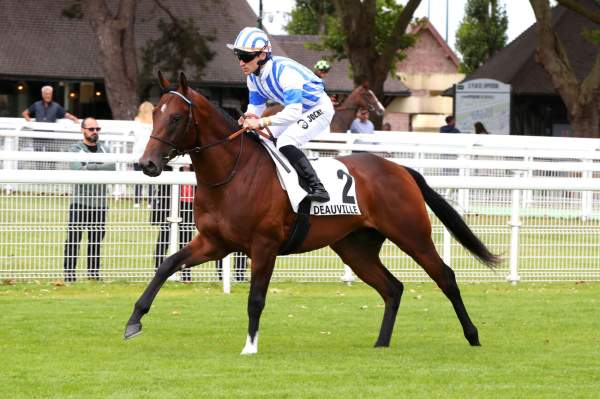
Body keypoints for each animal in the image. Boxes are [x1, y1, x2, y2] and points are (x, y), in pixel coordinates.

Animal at [124, 72, 500, 356]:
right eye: (155, 114)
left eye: (175, 118)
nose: (148, 163)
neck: (233, 173)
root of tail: (400, 168)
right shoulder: (214, 243)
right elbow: (167, 265)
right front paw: (133, 321)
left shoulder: (264, 246)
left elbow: (256, 298)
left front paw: (250, 346)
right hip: (355, 247)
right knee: (392, 288)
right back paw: (381, 343)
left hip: (411, 234)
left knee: (445, 276)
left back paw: (473, 335)